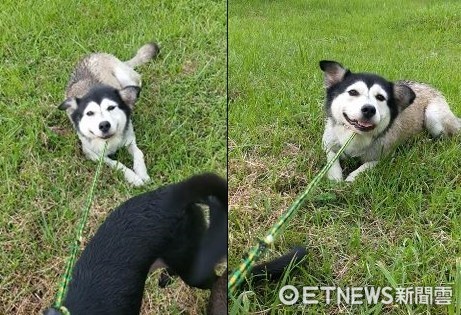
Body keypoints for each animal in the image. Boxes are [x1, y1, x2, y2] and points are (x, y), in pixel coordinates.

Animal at [57, 43, 159, 186]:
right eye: (89, 113)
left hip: (125, 76)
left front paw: (142, 173)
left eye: (111, 107)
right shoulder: (93, 154)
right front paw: (133, 177)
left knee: (138, 78)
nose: (104, 125)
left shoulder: (130, 138)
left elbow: (139, 153)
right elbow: (116, 164)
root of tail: (94, 54)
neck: (110, 141)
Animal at [320, 60, 460, 183]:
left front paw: (351, 178)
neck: (355, 135)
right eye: (353, 92)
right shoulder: (327, 143)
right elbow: (331, 158)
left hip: (433, 117)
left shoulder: (384, 155)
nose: (369, 109)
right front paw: (335, 177)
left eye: (380, 97)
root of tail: (430, 87)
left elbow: (366, 166)